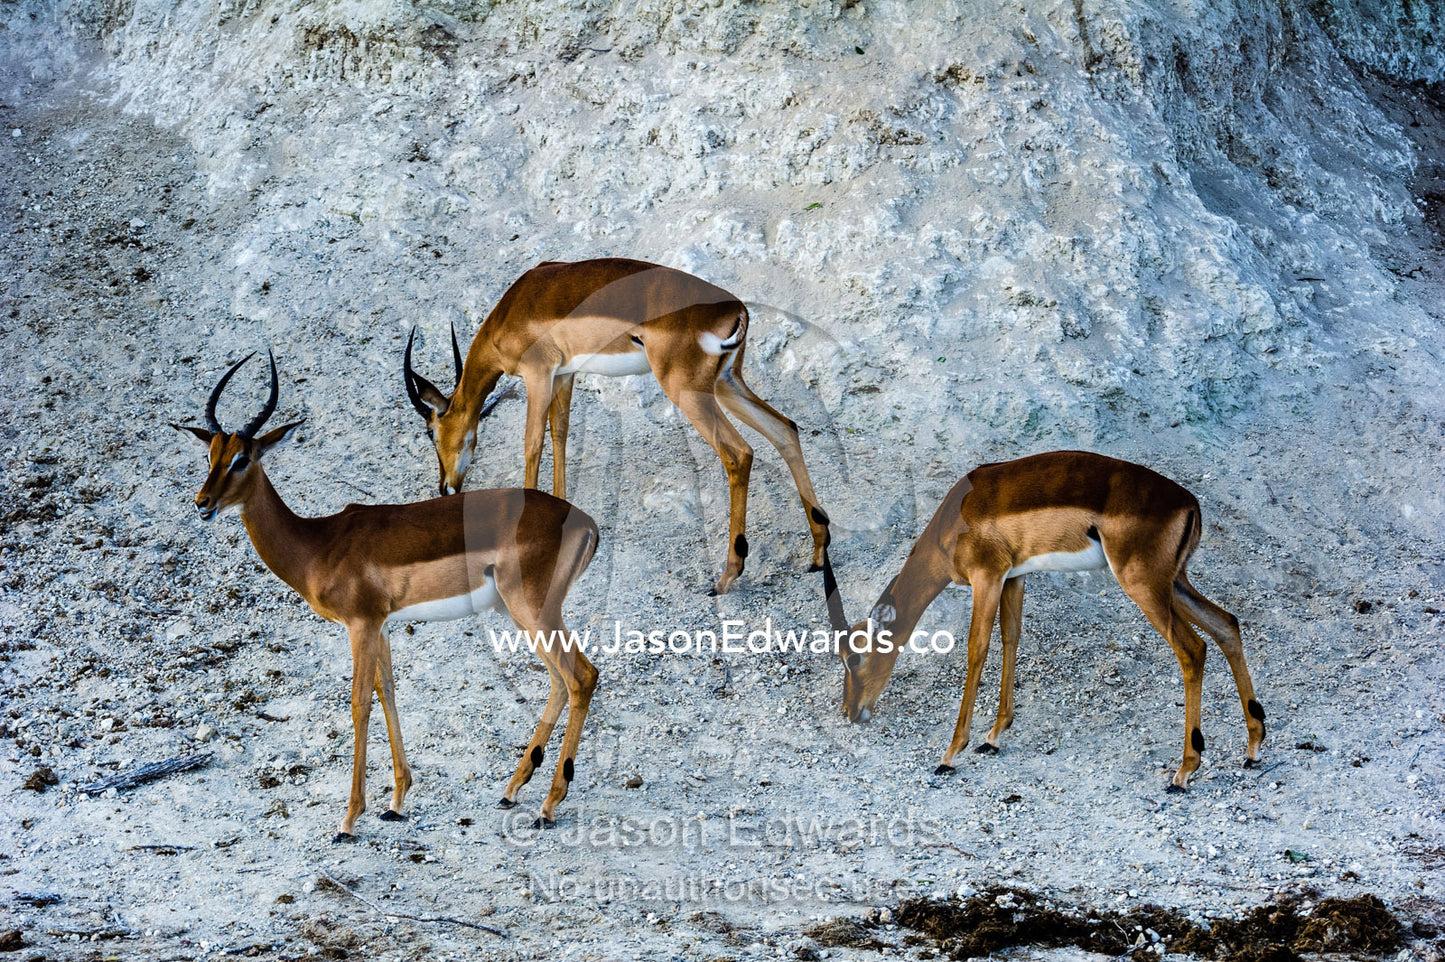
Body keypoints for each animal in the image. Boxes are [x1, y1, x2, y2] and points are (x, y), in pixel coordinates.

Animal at [173, 352, 600, 838]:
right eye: (210, 454)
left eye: (242, 459)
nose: (202, 503)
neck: (318, 544)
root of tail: (585, 521)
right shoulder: (383, 627)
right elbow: (388, 691)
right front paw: (395, 802)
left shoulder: (360, 625)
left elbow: (359, 704)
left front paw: (348, 819)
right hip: (525, 614)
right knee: (560, 681)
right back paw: (511, 791)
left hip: (531, 609)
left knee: (581, 677)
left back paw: (548, 806)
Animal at [402, 257, 831, 595]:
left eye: (430, 432)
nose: (445, 487)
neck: (514, 310)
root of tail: (736, 308)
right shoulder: (564, 374)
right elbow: (560, 433)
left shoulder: (538, 374)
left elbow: (532, 443)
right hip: (727, 384)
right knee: (785, 429)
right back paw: (817, 552)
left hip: (689, 392)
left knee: (738, 453)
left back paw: (725, 578)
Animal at [821, 450, 1266, 791]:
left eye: (854, 657)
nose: (849, 711)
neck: (956, 518)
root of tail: (1189, 503)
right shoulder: (1013, 577)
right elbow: (1011, 638)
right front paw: (993, 737)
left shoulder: (987, 577)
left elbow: (977, 649)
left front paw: (950, 754)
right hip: (1174, 584)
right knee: (1227, 624)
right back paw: (1253, 749)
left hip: (1144, 586)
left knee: (1193, 648)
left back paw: (1184, 772)